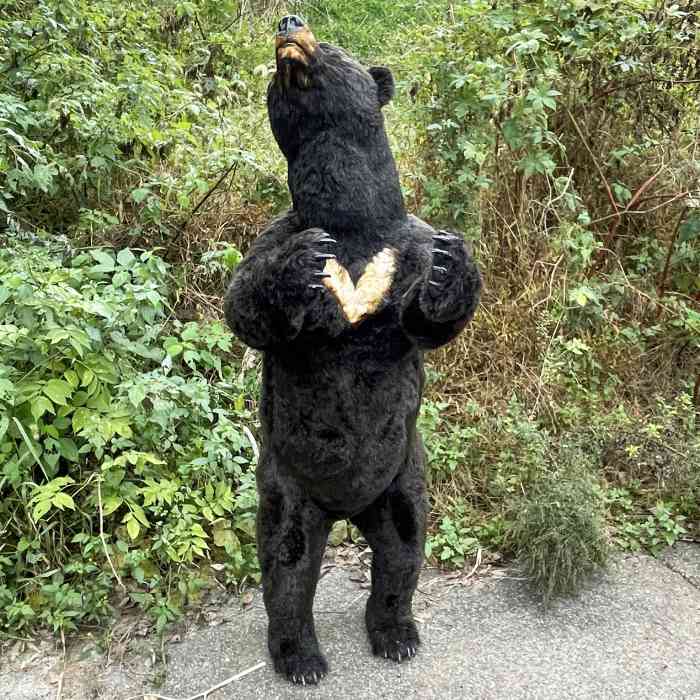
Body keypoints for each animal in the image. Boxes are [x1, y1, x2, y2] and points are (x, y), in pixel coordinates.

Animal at [224, 15, 481, 685]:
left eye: (335, 45)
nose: (288, 23)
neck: (353, 224)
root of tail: (346, 512)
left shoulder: (406, 245)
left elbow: (424, 320)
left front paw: (452, 270)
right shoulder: (275, 231)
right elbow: (246, 302)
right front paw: (300, 267)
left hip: (403, 477)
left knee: (403, 553)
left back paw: (396, 634)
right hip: (286, 483)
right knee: (286, 570)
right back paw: (302, 657)